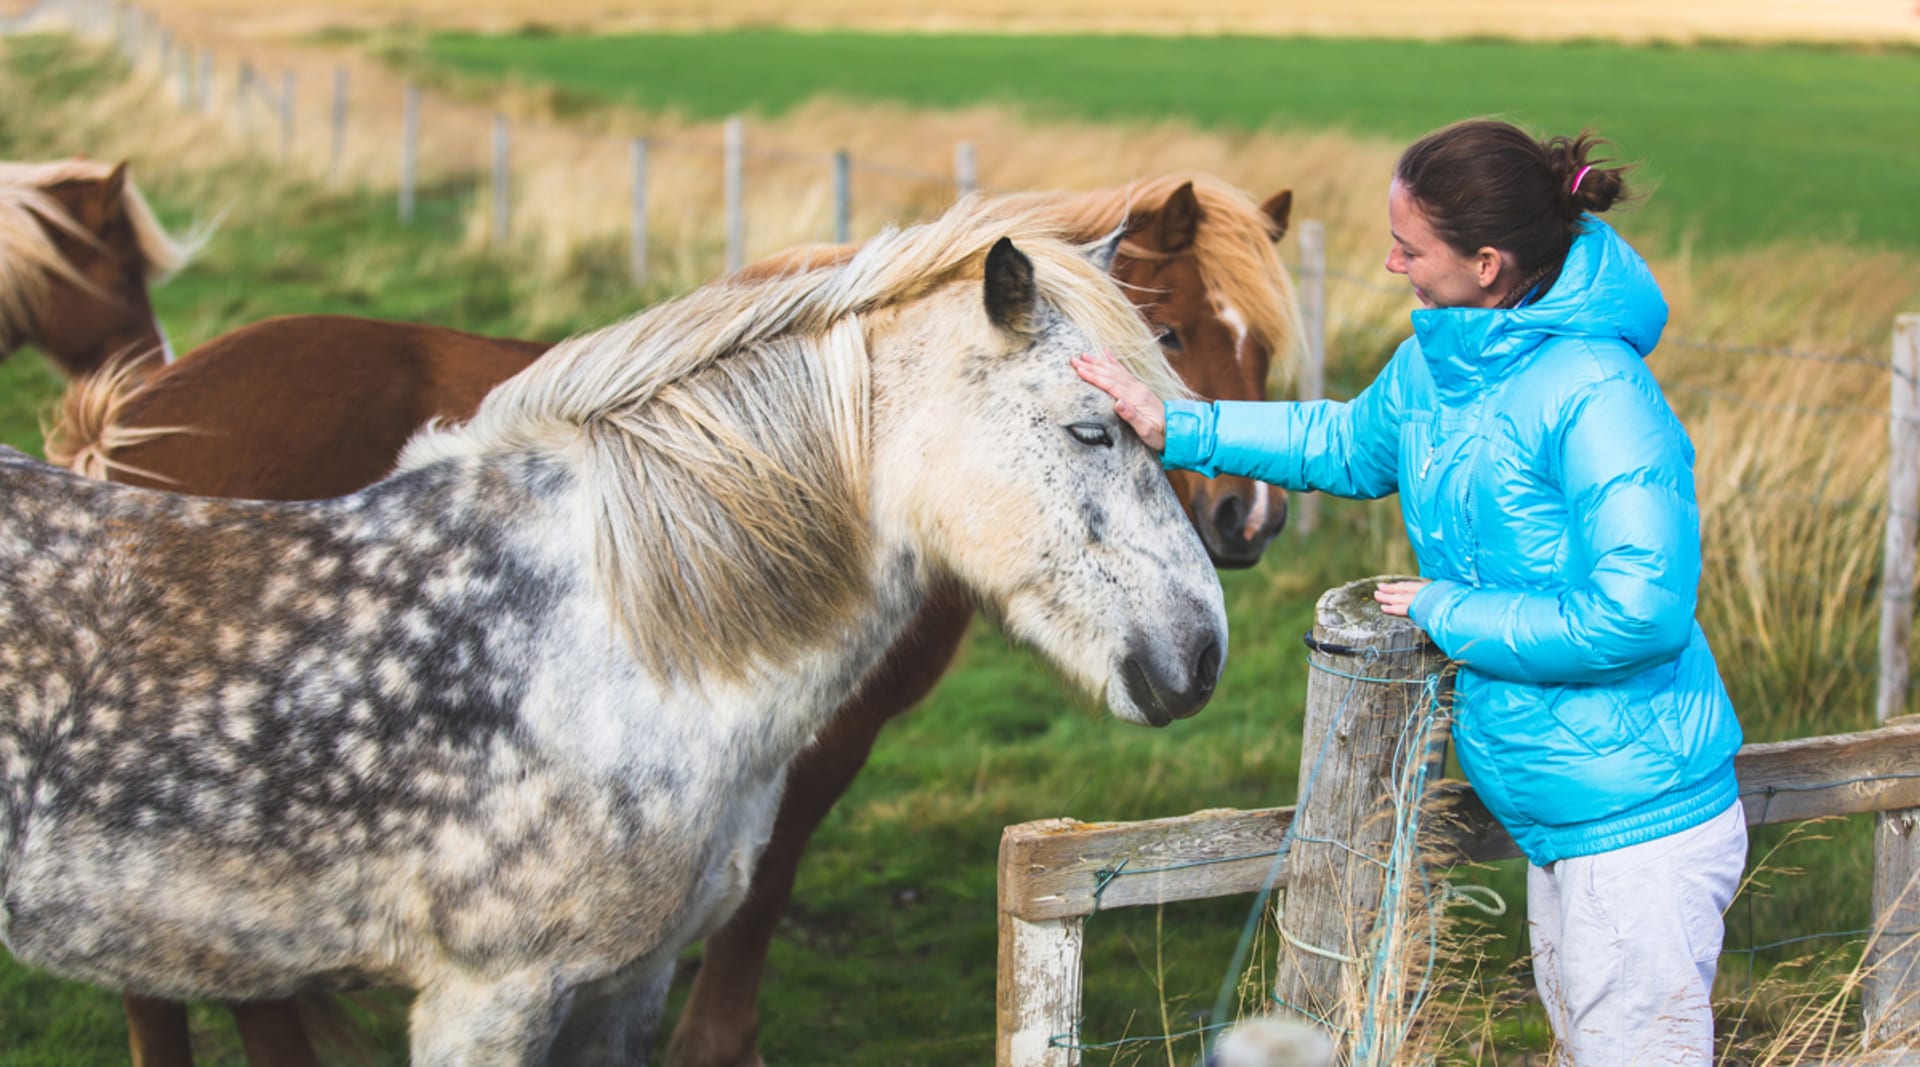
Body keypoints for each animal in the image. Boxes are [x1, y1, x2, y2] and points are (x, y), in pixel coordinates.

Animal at [48, 170, 1305, 1059]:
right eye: (1173, 334)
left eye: (1257, 344)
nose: (1250, 519)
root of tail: (126, 427)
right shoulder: (813, 746)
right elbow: (760, 897)